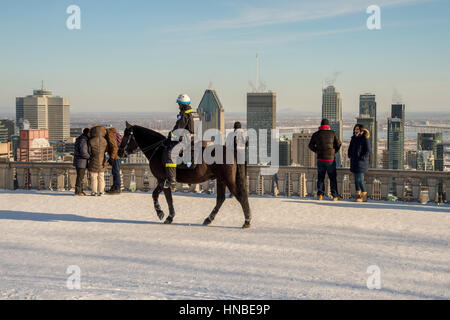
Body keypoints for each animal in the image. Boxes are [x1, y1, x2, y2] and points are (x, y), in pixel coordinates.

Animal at [118, 121, 251, 229]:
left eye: (126, 135)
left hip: (228, 180)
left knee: (240, 196)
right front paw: (170, 217)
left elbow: (155, 195)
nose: (119, 152)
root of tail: (232, 151)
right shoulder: (166, 182)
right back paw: (208, 219)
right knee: (221, 199)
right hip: (221, 179)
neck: (157, 149)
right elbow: (169, 199)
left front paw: (160, 213)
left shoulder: (162, 179)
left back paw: (247, 221)